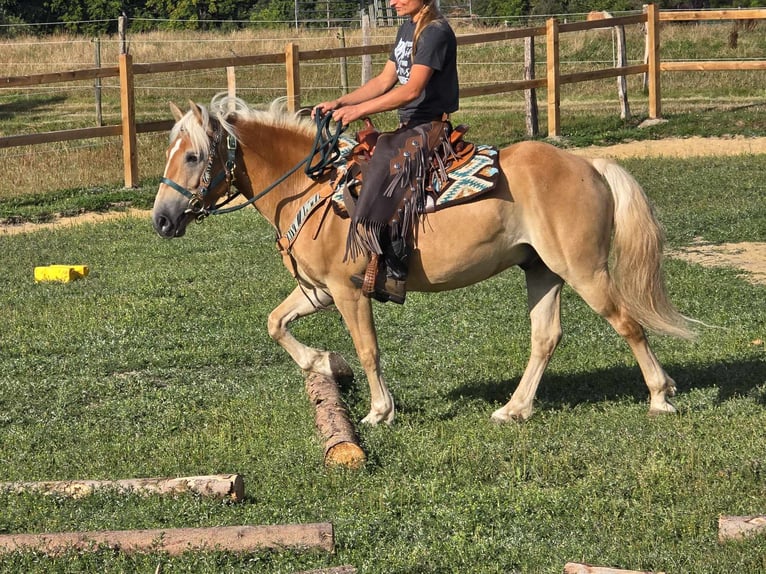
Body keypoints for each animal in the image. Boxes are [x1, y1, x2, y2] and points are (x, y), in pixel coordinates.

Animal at [152, 94, 696, 428]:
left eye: (194, 156)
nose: (161, 219)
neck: (310, 186)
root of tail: (591, 165)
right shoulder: (321, 290)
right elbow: (275, 323)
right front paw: (323, 361)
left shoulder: (348, 291)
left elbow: (369, 350)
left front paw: (379, 411)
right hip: (542, 270)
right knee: (546, 337)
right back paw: (515, 409)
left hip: (585, 271)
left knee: (628, 324)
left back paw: (660, 396)